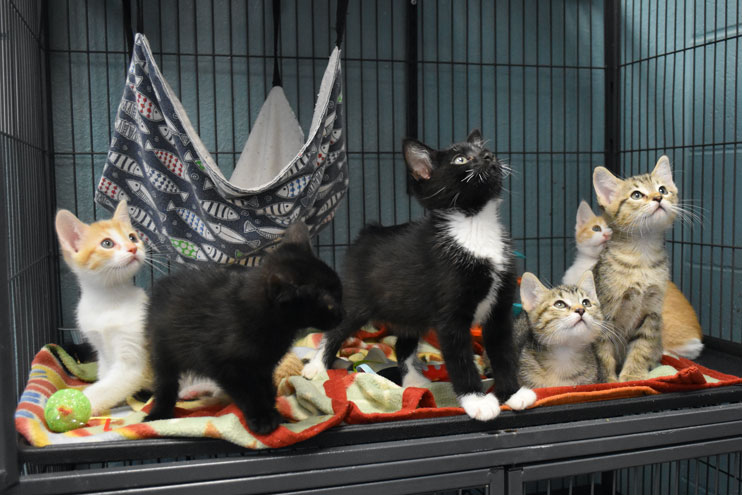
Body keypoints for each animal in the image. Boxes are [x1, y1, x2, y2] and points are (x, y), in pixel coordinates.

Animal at [55, 200, 152, 415]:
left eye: (132, 237)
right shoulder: (101, 348)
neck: (108, 301)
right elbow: (105, 376)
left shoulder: (133, 359)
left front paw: (80, 403)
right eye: (107, 243)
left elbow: (107, 387)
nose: (133, 248)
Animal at [144, 223, 343, 434]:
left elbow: (266, 389)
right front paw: (262, 417)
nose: (343, 315)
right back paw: (159, 413)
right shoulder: (222, 363)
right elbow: (248, 391)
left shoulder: (264, 364)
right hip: (162, 347)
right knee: (165, 382)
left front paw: (276, 414)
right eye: (329, 305)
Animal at [302, 130, 536, 421]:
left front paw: (512, 393)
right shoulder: (450, 315)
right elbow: (460, 358)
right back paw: (316, 366)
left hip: (409, 307)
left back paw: (414, 381)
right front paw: (476, 400)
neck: (475, 224)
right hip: (359, 297)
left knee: (403, 344)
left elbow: (503, 351)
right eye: (461, 159)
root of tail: (369, 232)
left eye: (486, 151)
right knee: (337, 329)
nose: (487, 156)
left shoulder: (499, 308)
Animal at [591, 155, 678, 382]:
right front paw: (608, 381)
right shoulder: (605, 312)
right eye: (636, 195)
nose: (658, 198)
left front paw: (633, 375)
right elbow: (603, 351)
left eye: (663, 189)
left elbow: (642, 346)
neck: (642, 259)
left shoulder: (652, 311)